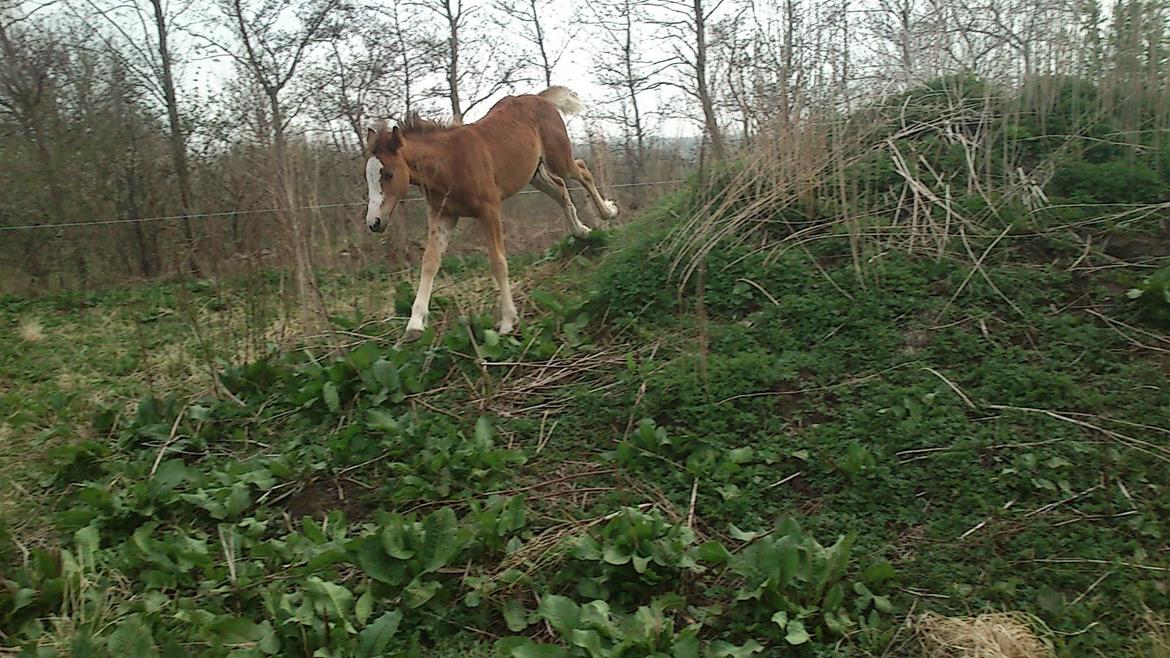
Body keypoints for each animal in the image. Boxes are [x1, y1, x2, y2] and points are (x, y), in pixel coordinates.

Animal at [362, 86, 622, 339]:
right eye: (368, 176)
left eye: (388, 174)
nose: (374, 222)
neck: (450, 162)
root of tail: (539, 98)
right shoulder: (443, 215)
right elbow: (430, 261)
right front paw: (414, 326)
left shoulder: (490, 210)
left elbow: (497, 261)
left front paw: (508, 321)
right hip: (534, 172)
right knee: (559, 189)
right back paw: (582, 231)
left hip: (559, 159)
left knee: (582, 170)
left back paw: (608, 212)